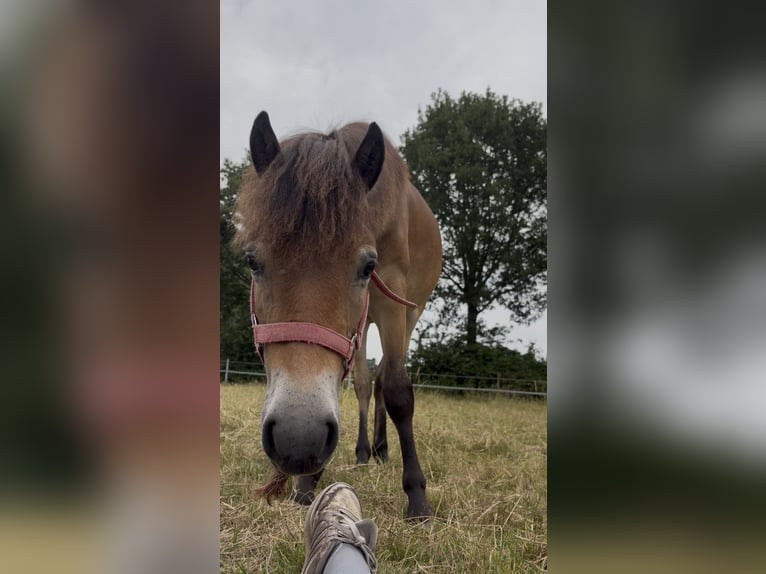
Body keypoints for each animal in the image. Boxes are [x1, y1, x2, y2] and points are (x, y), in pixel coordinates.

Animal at [233, 111, 441, 519]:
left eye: (367, 266)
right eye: (252, 261)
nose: (297, 439)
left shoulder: (393, 300)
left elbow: (398, 390)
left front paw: (417, 496)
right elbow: (356, 386)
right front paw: (306, 484)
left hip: (406, 315)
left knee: (383, 380)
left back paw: (381, 451)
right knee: (363, 384)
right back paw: (364, 451)